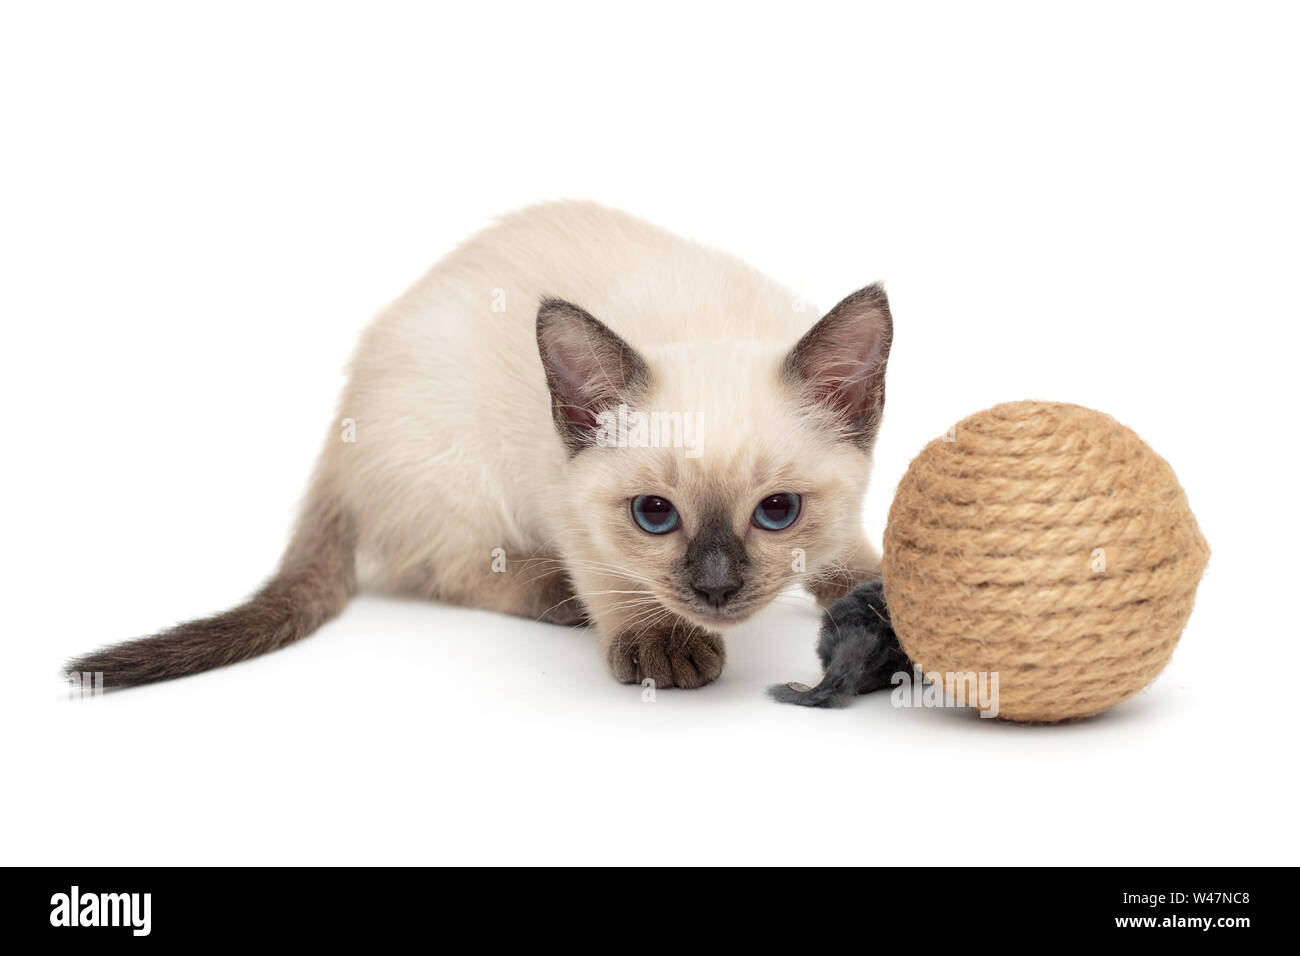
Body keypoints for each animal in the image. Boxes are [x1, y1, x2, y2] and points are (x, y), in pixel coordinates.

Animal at [65, 200, 889, 686]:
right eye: (654, 515)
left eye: (778, 511)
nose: (716, 590)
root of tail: (340, 430)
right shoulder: (563, 496)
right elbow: (610, 575)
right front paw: (659, 638)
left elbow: (852, 556)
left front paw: (880, 598)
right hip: (460, 472)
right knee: (449, 569)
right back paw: (557, 597)